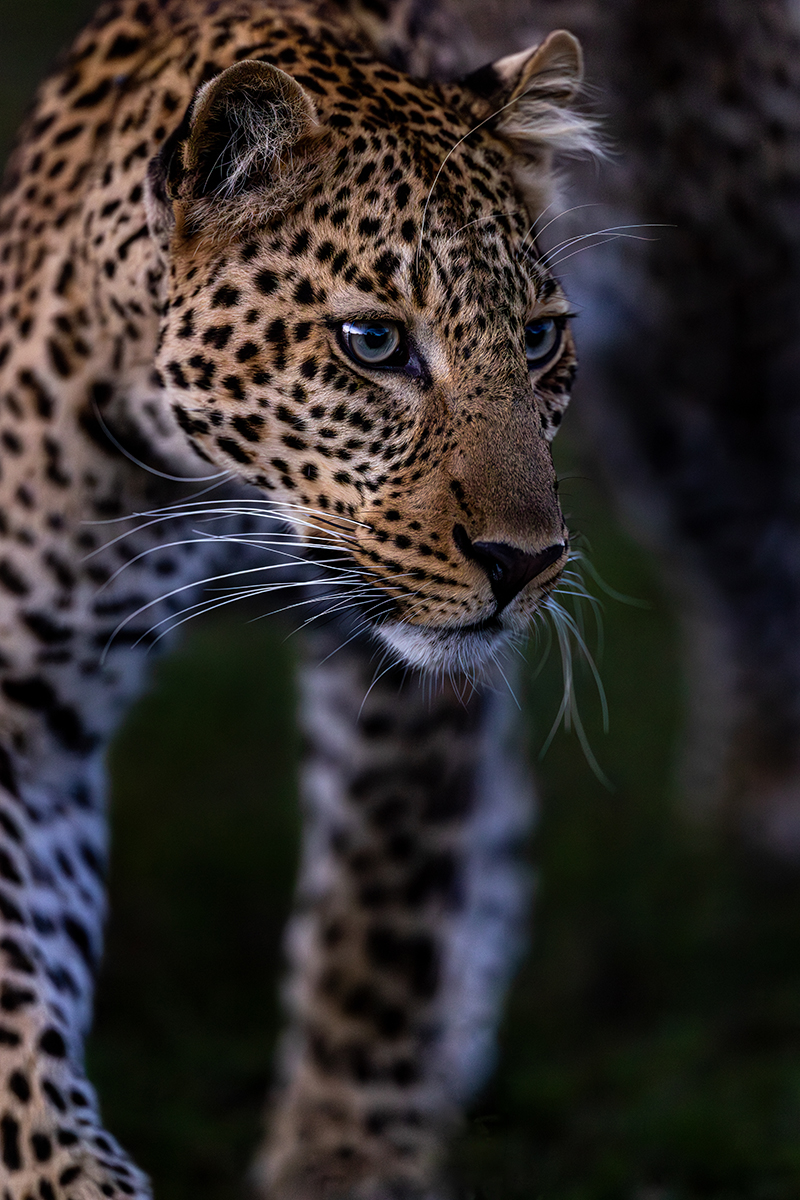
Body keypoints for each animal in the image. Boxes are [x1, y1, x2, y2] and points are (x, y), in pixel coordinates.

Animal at [0, 0, 600, 1196]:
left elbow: (383, 916)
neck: (217, 496)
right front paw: (72, 1175)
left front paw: (346, 1157)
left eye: (538, 338)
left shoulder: (406, 686)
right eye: (373, 342)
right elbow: (15, 995)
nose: (526, 562)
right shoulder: (22, 709)